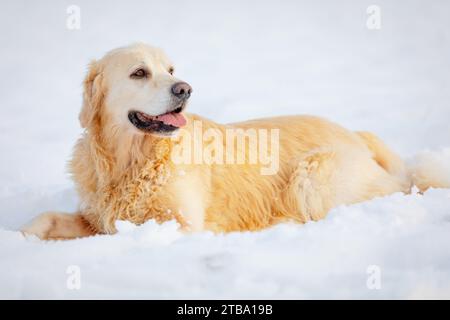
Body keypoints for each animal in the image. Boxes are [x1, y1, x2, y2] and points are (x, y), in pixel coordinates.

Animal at [22, 43, 446, 241]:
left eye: (171, 69)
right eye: (139, 73)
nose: (185, 88)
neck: (131, 160)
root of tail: (357, 134)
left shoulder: (181, 225)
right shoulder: (94, 216)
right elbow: (46, 218)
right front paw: (21, 237)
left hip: (314, 176)